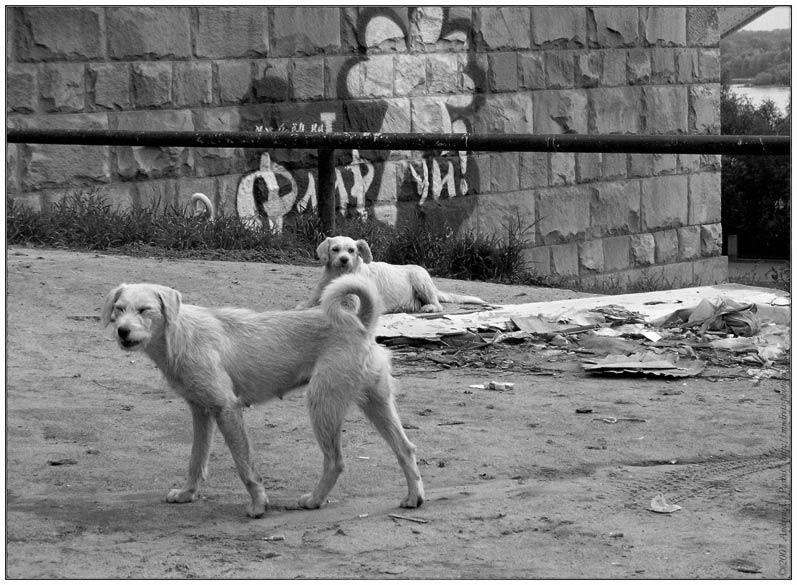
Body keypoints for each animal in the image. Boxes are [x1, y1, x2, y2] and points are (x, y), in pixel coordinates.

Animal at [103, 274, 426, 516]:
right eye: (119, 308)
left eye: (145, 309)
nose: (122, 332)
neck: (180, 334)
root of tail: (360, 323)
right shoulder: (201, 410)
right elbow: (196, 460)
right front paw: (186, 493)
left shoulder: (227, 408)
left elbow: (245, 465)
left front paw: (259, 504)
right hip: (376, 403)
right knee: (406, 448)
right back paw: (414, 497)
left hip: (322, 404)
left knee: (336, 461)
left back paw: (315, 500)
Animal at [300, 235, 482, 312]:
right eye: (335, 249)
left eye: (351, 250)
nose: (344, 260)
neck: (338, 274)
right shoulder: (315, 297)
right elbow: (305, 305)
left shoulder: (351, 304)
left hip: (420, 279)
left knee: (438, 305)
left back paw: (429, 307)